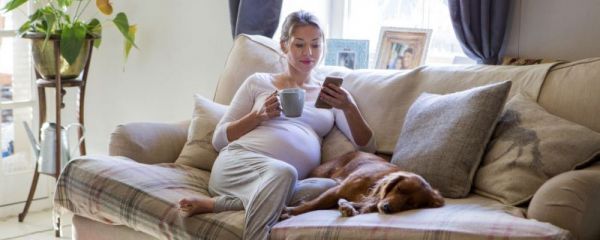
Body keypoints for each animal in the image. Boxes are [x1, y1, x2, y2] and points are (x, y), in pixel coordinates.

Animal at [282, 152, 446, 218]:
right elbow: (312, 204)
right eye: (398, 188)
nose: (387, 208)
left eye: (410, 204)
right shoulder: (336, 190)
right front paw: (290, 211)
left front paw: (349, 208)